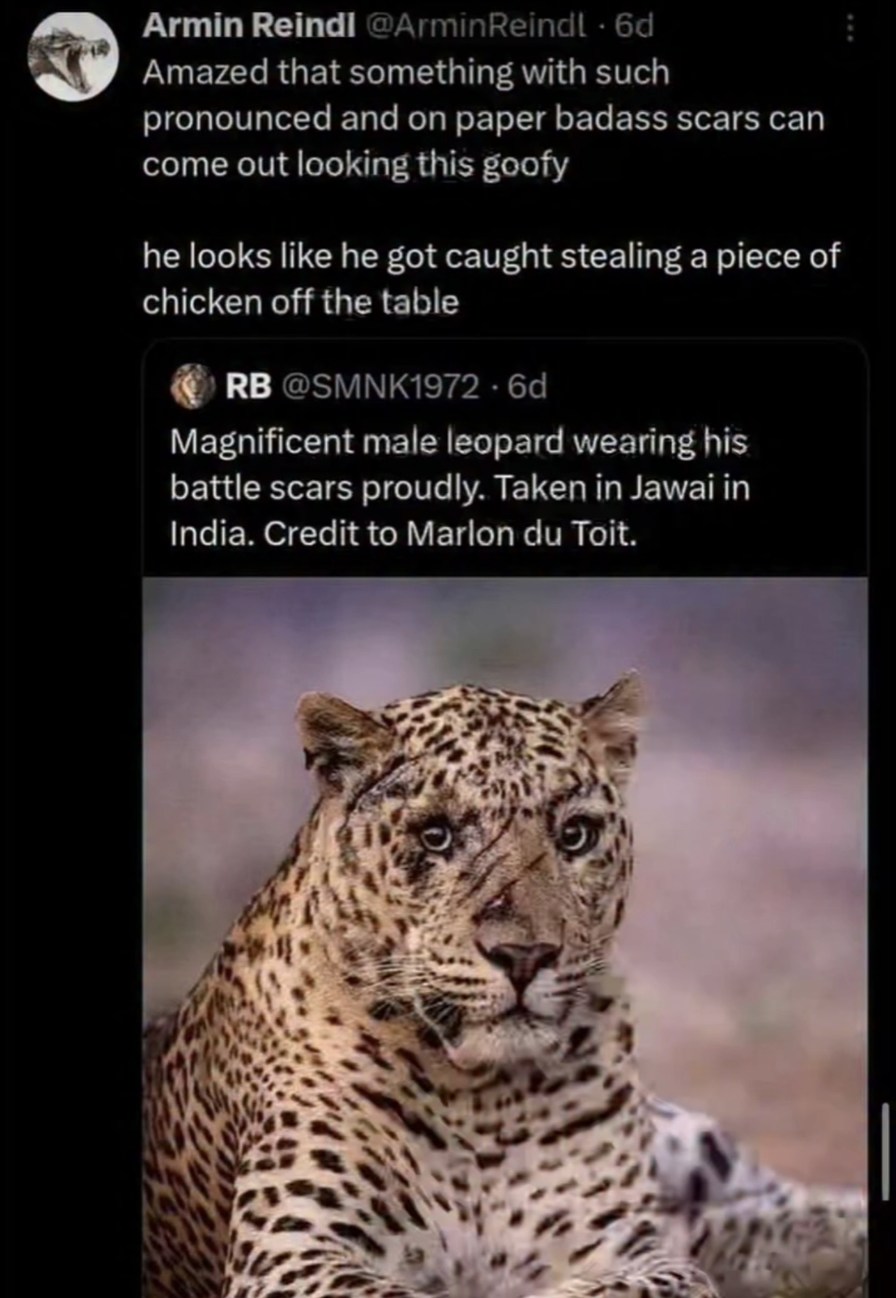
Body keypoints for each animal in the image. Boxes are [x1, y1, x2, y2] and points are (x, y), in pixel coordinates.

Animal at [143, 676, 866, 1298]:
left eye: (575, 835)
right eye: (436, 836)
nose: (524, 955)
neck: (482, 1103)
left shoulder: (626, 1245)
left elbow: (666, 1273)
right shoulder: (293, 1251)